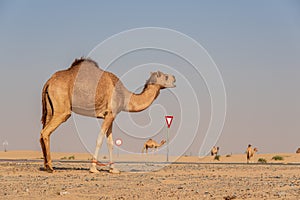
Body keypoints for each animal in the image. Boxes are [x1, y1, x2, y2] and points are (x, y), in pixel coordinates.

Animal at [39, 57, 176, 173]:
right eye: (166, 76)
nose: (175, 78)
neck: (125, 96)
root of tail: (49, 82)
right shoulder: (110, 114)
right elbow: (99, 139)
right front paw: (93, 169)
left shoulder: (110, 115)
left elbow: (110, 142)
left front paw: (113, 169)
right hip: (62, 110)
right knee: (45, 132)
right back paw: (50, 167)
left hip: (51, 109)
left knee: (43, 132)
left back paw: (46, 166)